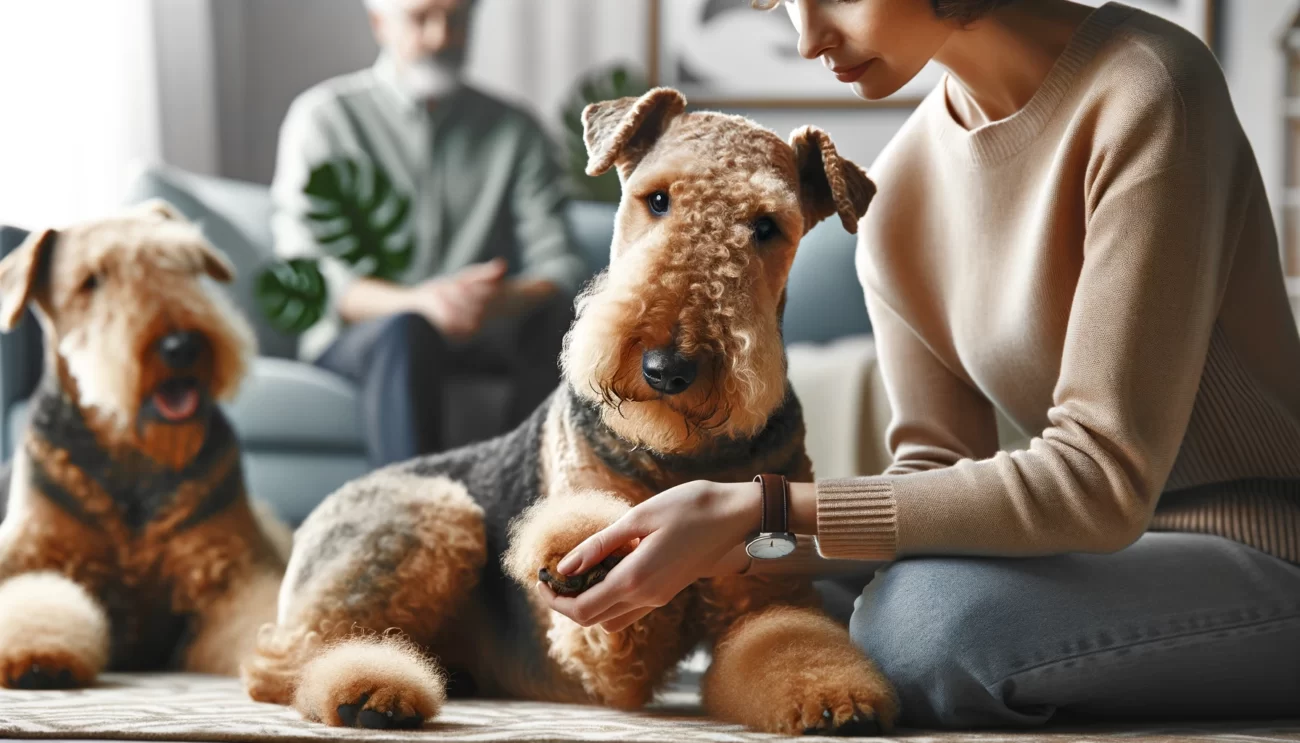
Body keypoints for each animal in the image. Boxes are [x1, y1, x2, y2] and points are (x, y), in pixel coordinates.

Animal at [0, 200, 286, 685]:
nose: (182, 346)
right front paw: (38, 656)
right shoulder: (30, 555)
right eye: (92, 280)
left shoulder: (233, 575)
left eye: (186, 264)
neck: (132, 453)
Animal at [241, 88, 894, 737]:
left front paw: (837, 698)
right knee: (290, 658)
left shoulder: (766, 595)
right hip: (434, 518)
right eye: (657, 199)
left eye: (766, 226)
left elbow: (791, 642)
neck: (678, 453)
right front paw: (574, 544)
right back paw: (369, 692)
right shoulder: (602, 649)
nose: (667, 368)